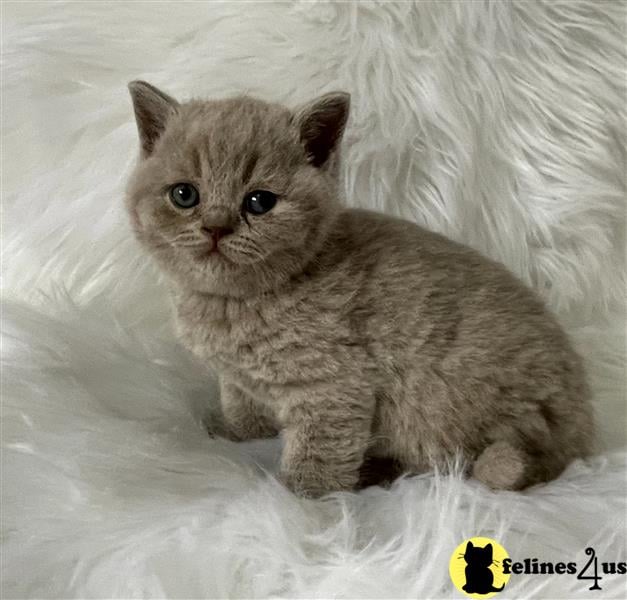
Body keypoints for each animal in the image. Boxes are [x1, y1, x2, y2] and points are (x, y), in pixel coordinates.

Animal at [122, 82, 592, 500]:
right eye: (184, 195)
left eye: (259, 202)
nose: (216, 227)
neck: (233, 304)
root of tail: (578, 430)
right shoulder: (238, 378)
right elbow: (241, 403)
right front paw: (235, 432)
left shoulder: (334, 385)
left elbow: (318, 451)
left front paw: (302, 500)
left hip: (443, 409)